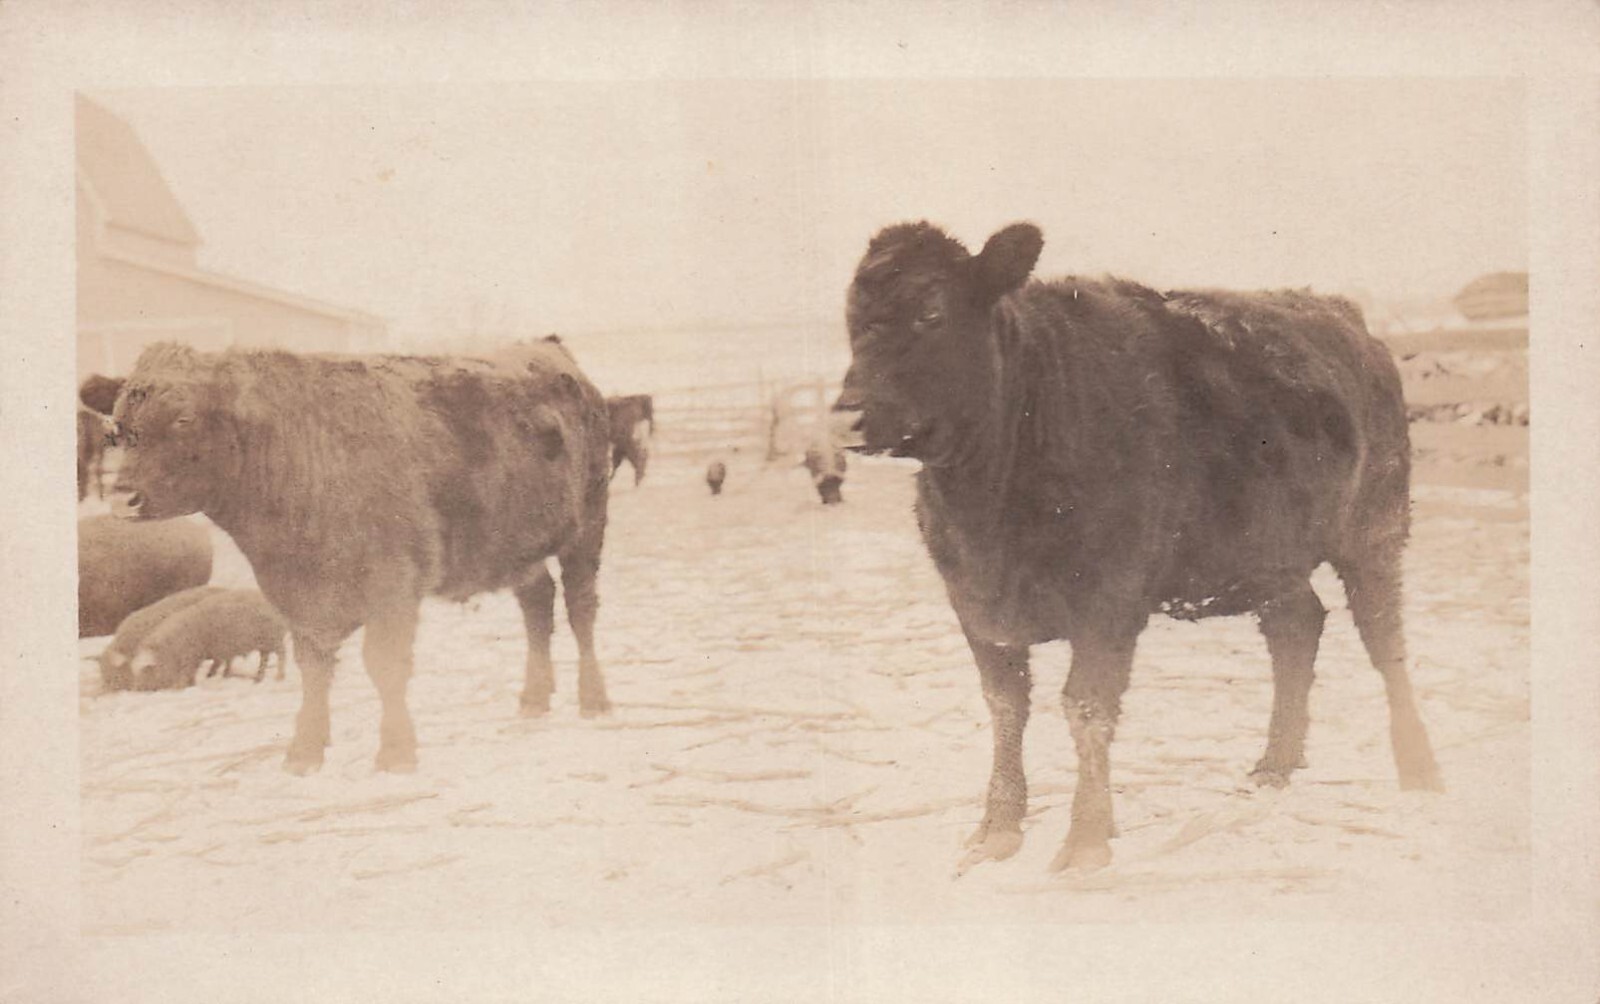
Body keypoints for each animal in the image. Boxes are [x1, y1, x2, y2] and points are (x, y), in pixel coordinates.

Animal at [108, 341, 613, 774]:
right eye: (118, 429)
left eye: (184, 418)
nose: (122, 498)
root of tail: (551, 352)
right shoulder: (298, 600)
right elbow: (314, 670)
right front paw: (304, 752)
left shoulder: (393, 590)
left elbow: (384, 666)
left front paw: (396, 753)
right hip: (518, 547)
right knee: (538, 604)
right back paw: (534, 699)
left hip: (586, 529)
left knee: (581, 609)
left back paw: (594, 700)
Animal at [832, 221, 1443, 873]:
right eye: (851, 319)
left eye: (932, 312)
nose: (847, 417)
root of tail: (1342, 314)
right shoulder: (977, 609)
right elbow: (1006, 708)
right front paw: (997, 829)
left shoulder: (1108, 605)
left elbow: (1085, 709)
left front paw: (1086, 840)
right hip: (1270, 558)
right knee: (1297, 629)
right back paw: (1272, 769)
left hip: (1375, 534)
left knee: (1386, 647)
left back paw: (1419, 770)